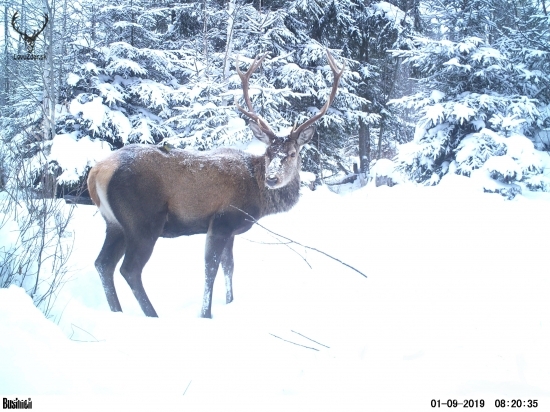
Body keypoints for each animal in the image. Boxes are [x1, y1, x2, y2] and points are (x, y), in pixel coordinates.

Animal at [87, 49, 344, 318]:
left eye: (292, 153)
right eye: (268, 153)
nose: (272, 178)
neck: (256, 194)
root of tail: (97, 171)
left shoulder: (232, 229)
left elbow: (229, 266)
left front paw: (230, 302)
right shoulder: (222, 219)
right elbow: (210, 267)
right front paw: (206, 313)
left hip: (114, 223)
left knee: (103, 263)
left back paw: (116, 312)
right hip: (143, 220)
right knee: (129, 269)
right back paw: (152, 315)